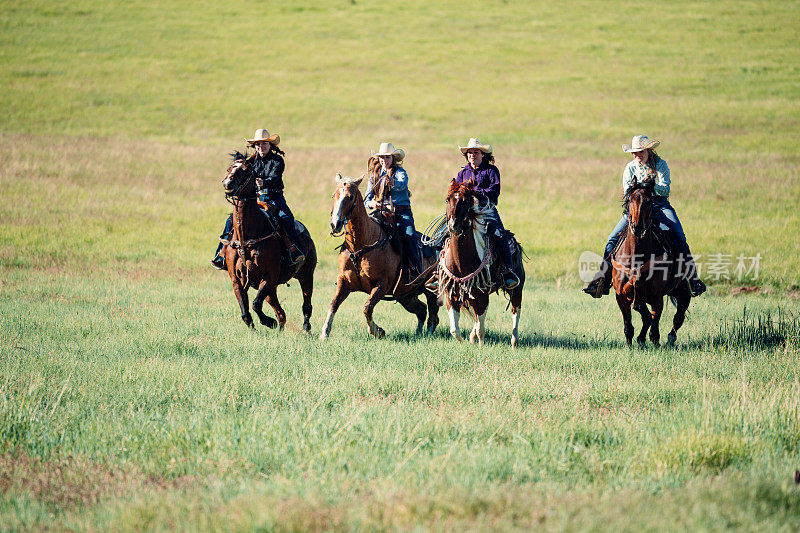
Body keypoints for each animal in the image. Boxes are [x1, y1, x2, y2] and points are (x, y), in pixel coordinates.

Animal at [222, 153, 318, 332]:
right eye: (229, 168)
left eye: (246, 170)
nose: (228, 183)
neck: (246, 238)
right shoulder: (237, 280)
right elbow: (245, 310)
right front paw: (256, 327)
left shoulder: (269, 276)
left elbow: (255, 304)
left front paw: (268, 321)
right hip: (272, 289)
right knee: (281, 313)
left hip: (306, 275)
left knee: (306, 305)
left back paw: (305, 328)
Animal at [320, 175, 440, 340]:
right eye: (334, 195)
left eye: (350, 197)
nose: (335, 224)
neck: (361, 245)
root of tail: (436, 247)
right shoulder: (344, 280)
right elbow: (334, 303)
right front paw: (324, 332)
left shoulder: (382, 284)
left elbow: (367, 307)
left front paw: (377, 331)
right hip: (405, 295)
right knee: (421, 310)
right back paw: (418, 333)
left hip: (430, 290)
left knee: (433, 315)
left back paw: (427, 334)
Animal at [438, 179, 524, 344]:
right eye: (447, 199)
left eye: (465, 201)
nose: (453, 226)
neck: (460, 262)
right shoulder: (451, 295)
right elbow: (455, 330)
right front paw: (463, 341)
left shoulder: (483, 295)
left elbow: (481, 329)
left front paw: (480, 343)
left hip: (517, 288)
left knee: (516, 311)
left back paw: (514, 340)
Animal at [616, 181, 692, 348]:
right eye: (630, 199)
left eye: (649, 201)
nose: (637, 227)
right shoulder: (622, 296)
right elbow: (630, 324)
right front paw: (631, 344)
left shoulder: (657, 297)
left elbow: (655, 322)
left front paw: (655, 342)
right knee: (646, 317)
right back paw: (641, 340)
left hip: (683, 291)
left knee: (678, 318)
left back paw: (670, 339)